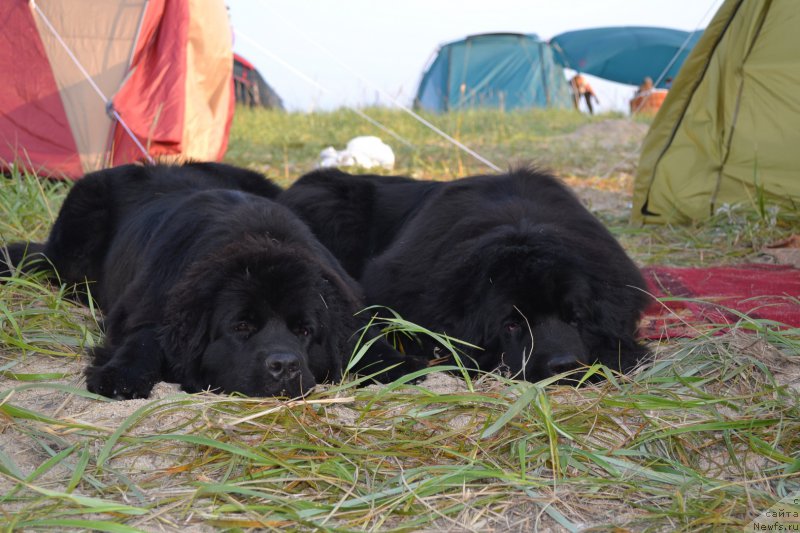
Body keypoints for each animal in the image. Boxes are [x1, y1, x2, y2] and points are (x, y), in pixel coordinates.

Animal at [1, 162, 424, 400]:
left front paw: (401, 365)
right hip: (70, 249)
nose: (284, 365)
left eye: (305, 331)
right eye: (241, 326)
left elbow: (363, 336)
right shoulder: (150, 303)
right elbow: (143, 337)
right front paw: (120, 376)